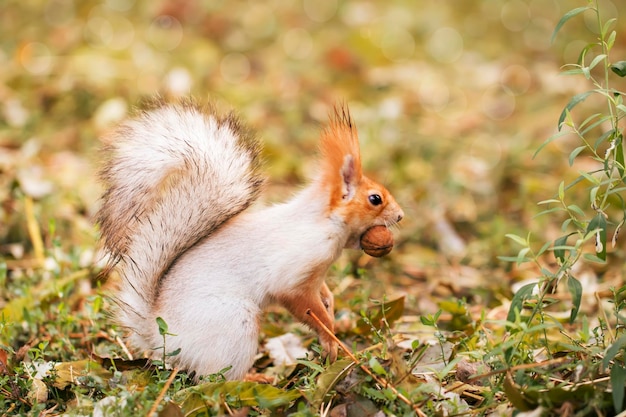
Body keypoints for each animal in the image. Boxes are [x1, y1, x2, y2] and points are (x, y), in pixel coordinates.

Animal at [97, 99, 400, 378]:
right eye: (375, 199)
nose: (400, 216)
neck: (322, 222)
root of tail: (158, 329)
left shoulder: (316, 277)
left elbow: (323, 293)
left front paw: (330, 303)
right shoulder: (294, 275)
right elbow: (303, 304)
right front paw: (330, 338)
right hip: (235, 325)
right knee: (215, 378)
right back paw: (256, 378)